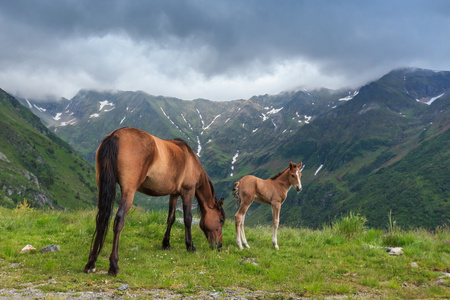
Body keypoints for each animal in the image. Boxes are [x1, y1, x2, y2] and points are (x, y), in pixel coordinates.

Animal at [83, 127, 224, 276]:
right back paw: (114, 265)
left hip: (102, 185)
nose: (219, 246)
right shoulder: (188, 191)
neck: (190, 159)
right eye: (221, 220)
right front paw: (190, 246)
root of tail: (115, 135)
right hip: (129, 191)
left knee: (101, 218)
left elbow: (171, 218)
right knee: (119, 220)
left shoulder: (174, 194)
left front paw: (166, 244)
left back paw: (91, 263)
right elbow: (188, 219)